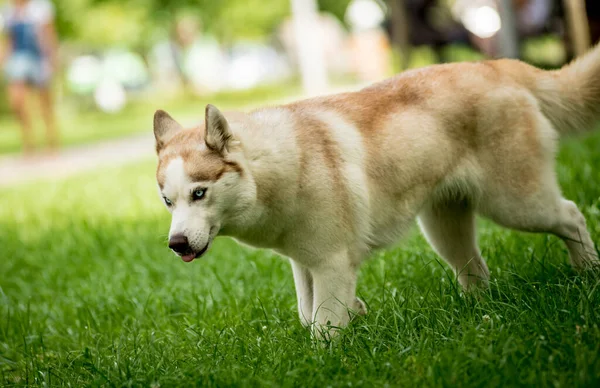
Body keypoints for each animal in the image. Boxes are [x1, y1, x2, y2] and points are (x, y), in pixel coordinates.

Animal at [154, 45, 600, 336]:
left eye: (199, 193)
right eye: (167, 201)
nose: (176, 244)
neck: (278, 166)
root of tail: (497, 66)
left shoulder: (331, 262)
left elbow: (323, 325)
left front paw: (326, 359)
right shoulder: (304, 263)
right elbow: (306, 311)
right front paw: (357, 311)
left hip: (517, 204)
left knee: (572, 215)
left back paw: (588, 271)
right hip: (444, 229)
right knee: (475, 270)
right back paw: (482, 314)